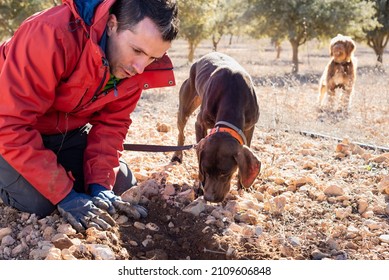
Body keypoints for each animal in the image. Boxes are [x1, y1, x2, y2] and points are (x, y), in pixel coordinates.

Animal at [171, 51, 260, 202]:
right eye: (205, 170)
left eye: (225, 173)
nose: (209, 198)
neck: (233, 96)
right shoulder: (199, 124)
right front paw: (199, 187)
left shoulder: (249, 128)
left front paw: (242, 186)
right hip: (185, 108)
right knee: (181, 133)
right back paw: (177, 155)